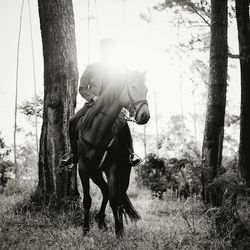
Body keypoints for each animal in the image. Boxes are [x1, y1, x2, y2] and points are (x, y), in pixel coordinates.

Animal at [74, 70, 149, 236]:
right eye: (133, 87)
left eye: (146, 90)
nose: (145, 116)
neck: (98, 131)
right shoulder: (83, 168)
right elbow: (87, 199)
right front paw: (85, 229)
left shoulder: (112, 168)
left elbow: (115, 200)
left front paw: (119, 231)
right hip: (95, 172)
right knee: (106, 191)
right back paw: (101, 221)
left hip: (124, 171)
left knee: (116, 195)